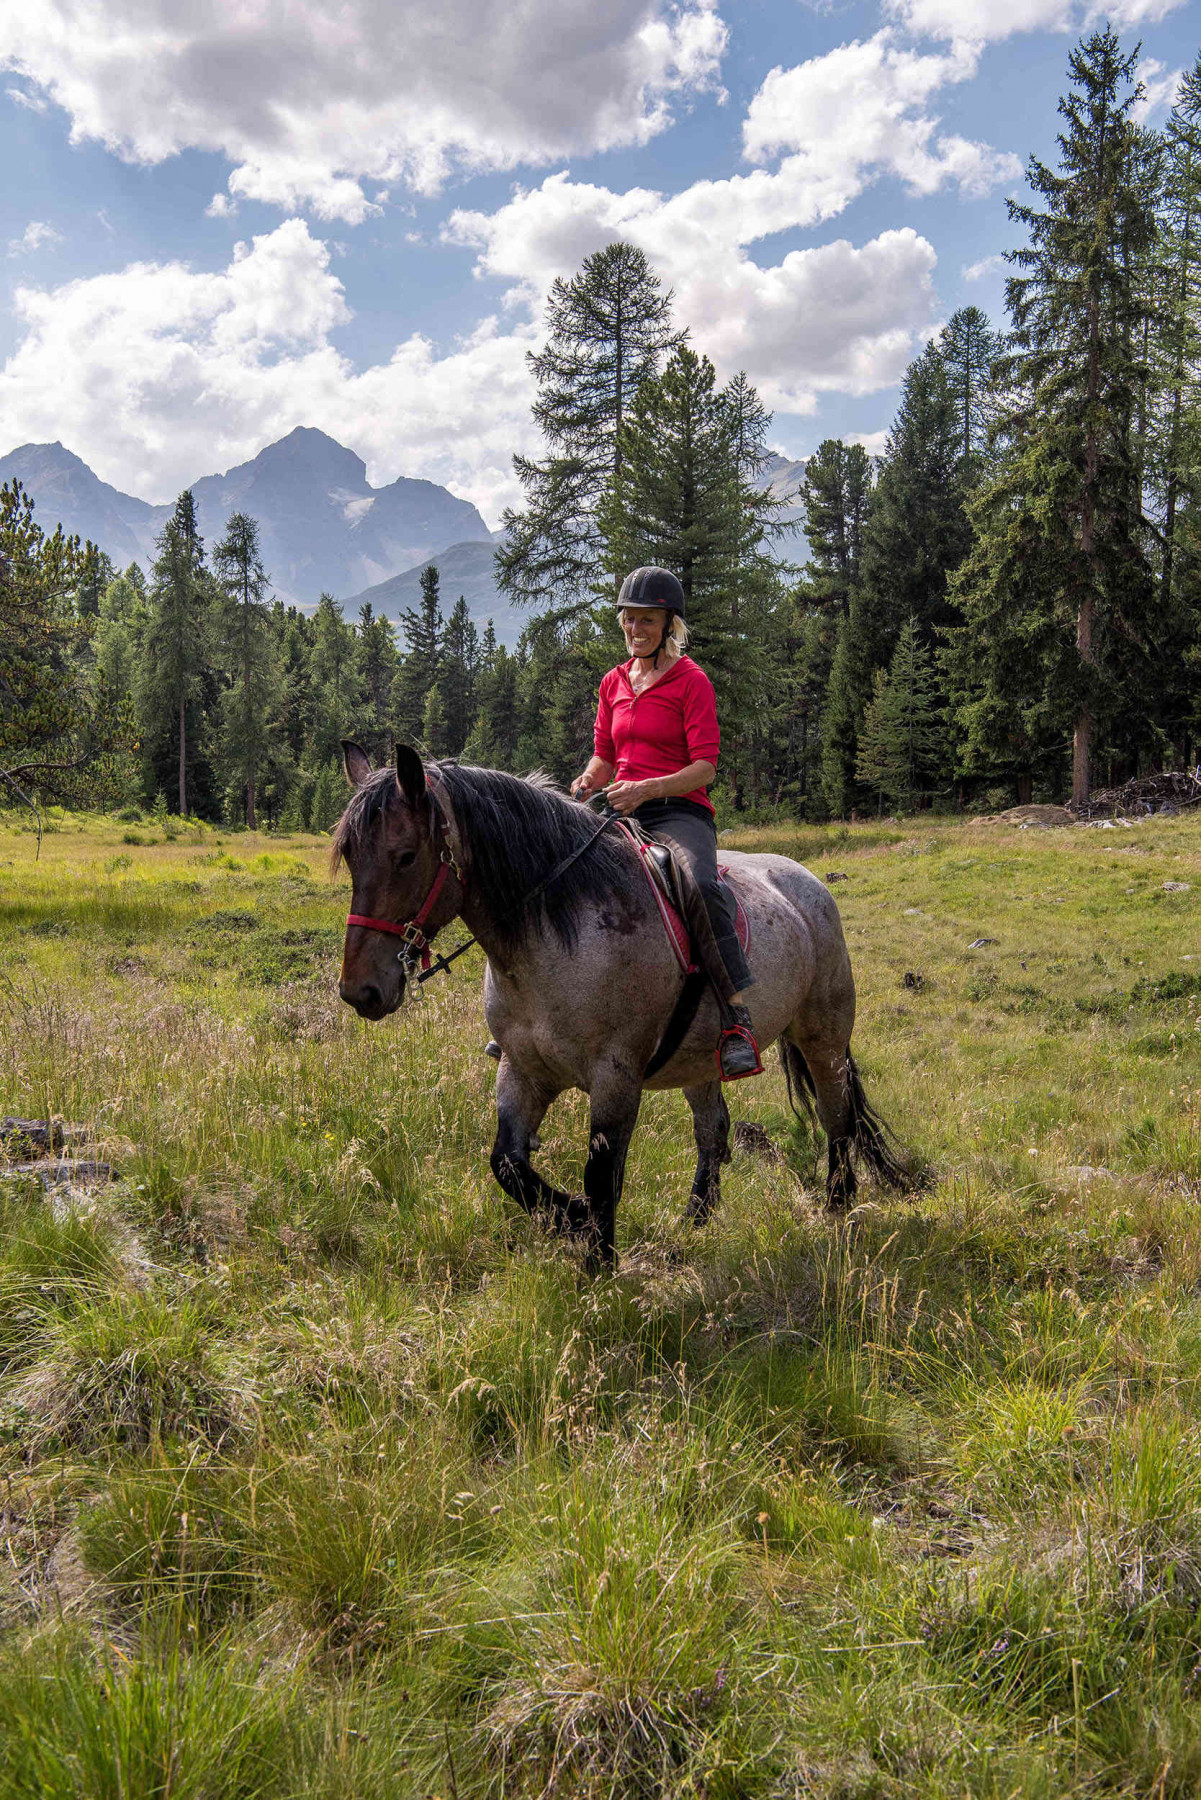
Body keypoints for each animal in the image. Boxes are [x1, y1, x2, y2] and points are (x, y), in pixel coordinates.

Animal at [333, 745, 907, 1267]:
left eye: (406, 855)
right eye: (352, 858)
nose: (361, 990)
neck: (557, 934)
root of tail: (808, 885)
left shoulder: (615, 1077)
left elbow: (601, 1176)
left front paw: (598, 1261)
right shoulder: (522, 1070)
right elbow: (508, 1165)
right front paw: (572, 1220)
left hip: (822, 1035)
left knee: (837, 1116)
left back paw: (839, 1206)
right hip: (703, 1059)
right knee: (714, 1128)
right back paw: (694, 1221)